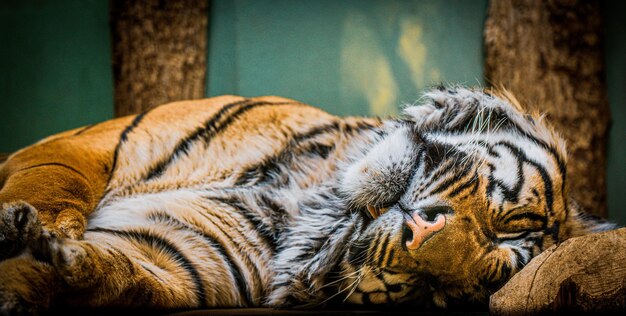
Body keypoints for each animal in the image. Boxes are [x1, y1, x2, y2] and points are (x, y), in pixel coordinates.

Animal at [0, 86, 612, 314]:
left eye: (439, 287)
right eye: (504, 218)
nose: (420, 236)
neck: (314, 203)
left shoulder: (176, 255)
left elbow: (121, 274)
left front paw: (54, 262)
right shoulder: (88, 145)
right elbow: (52, 185)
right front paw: (23, 224)